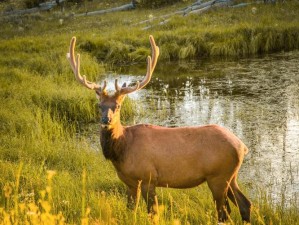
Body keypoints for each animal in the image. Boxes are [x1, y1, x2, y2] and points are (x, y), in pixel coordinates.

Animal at [67, 35, 252, 223]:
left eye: (117, 106)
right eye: (99, 106)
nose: (106, 120)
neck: (123, 149)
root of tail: (242, 146)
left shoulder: (148, 177)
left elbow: (153, 213)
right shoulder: (130, 182)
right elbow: (131, 210)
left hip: (218, 177)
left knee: (224, 212)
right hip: (231, 176)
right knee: (244, 204)